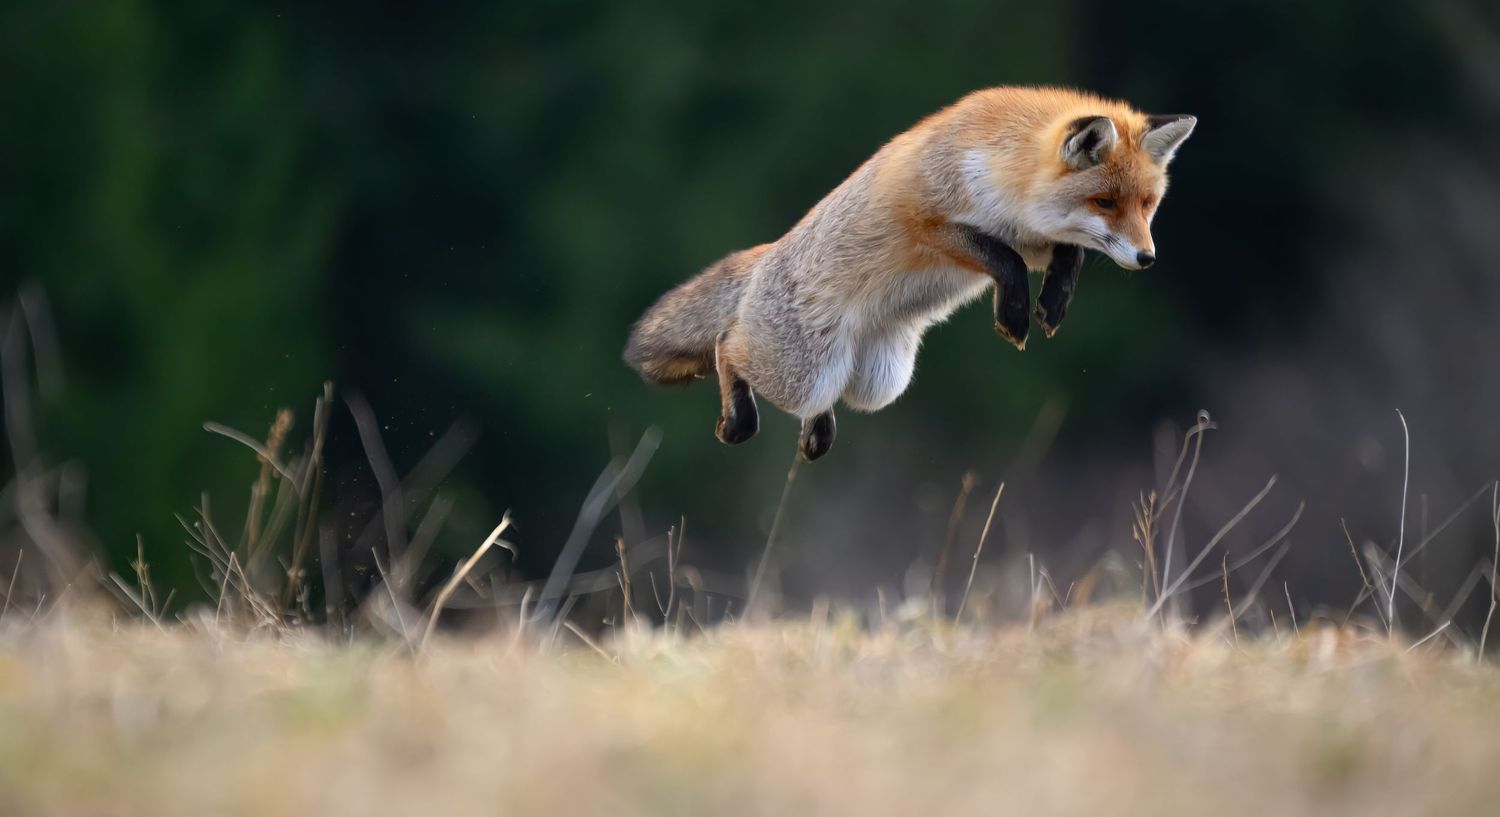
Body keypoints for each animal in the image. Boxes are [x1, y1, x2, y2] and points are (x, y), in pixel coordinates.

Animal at [624, 86, 1196, 462]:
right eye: (1105, 202)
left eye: (1147, 204)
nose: (1147, 258)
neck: (998, 172)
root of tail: (765, 254)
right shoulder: (927, 224)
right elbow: (1003, 259)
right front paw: (1013, 314)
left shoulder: (1035, 238)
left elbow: (1066, 256)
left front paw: (1052, 304)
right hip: (804, 372)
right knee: (727, 347)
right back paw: (736, 420)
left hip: (878, 384)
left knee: (823, 403)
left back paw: (815, 435)